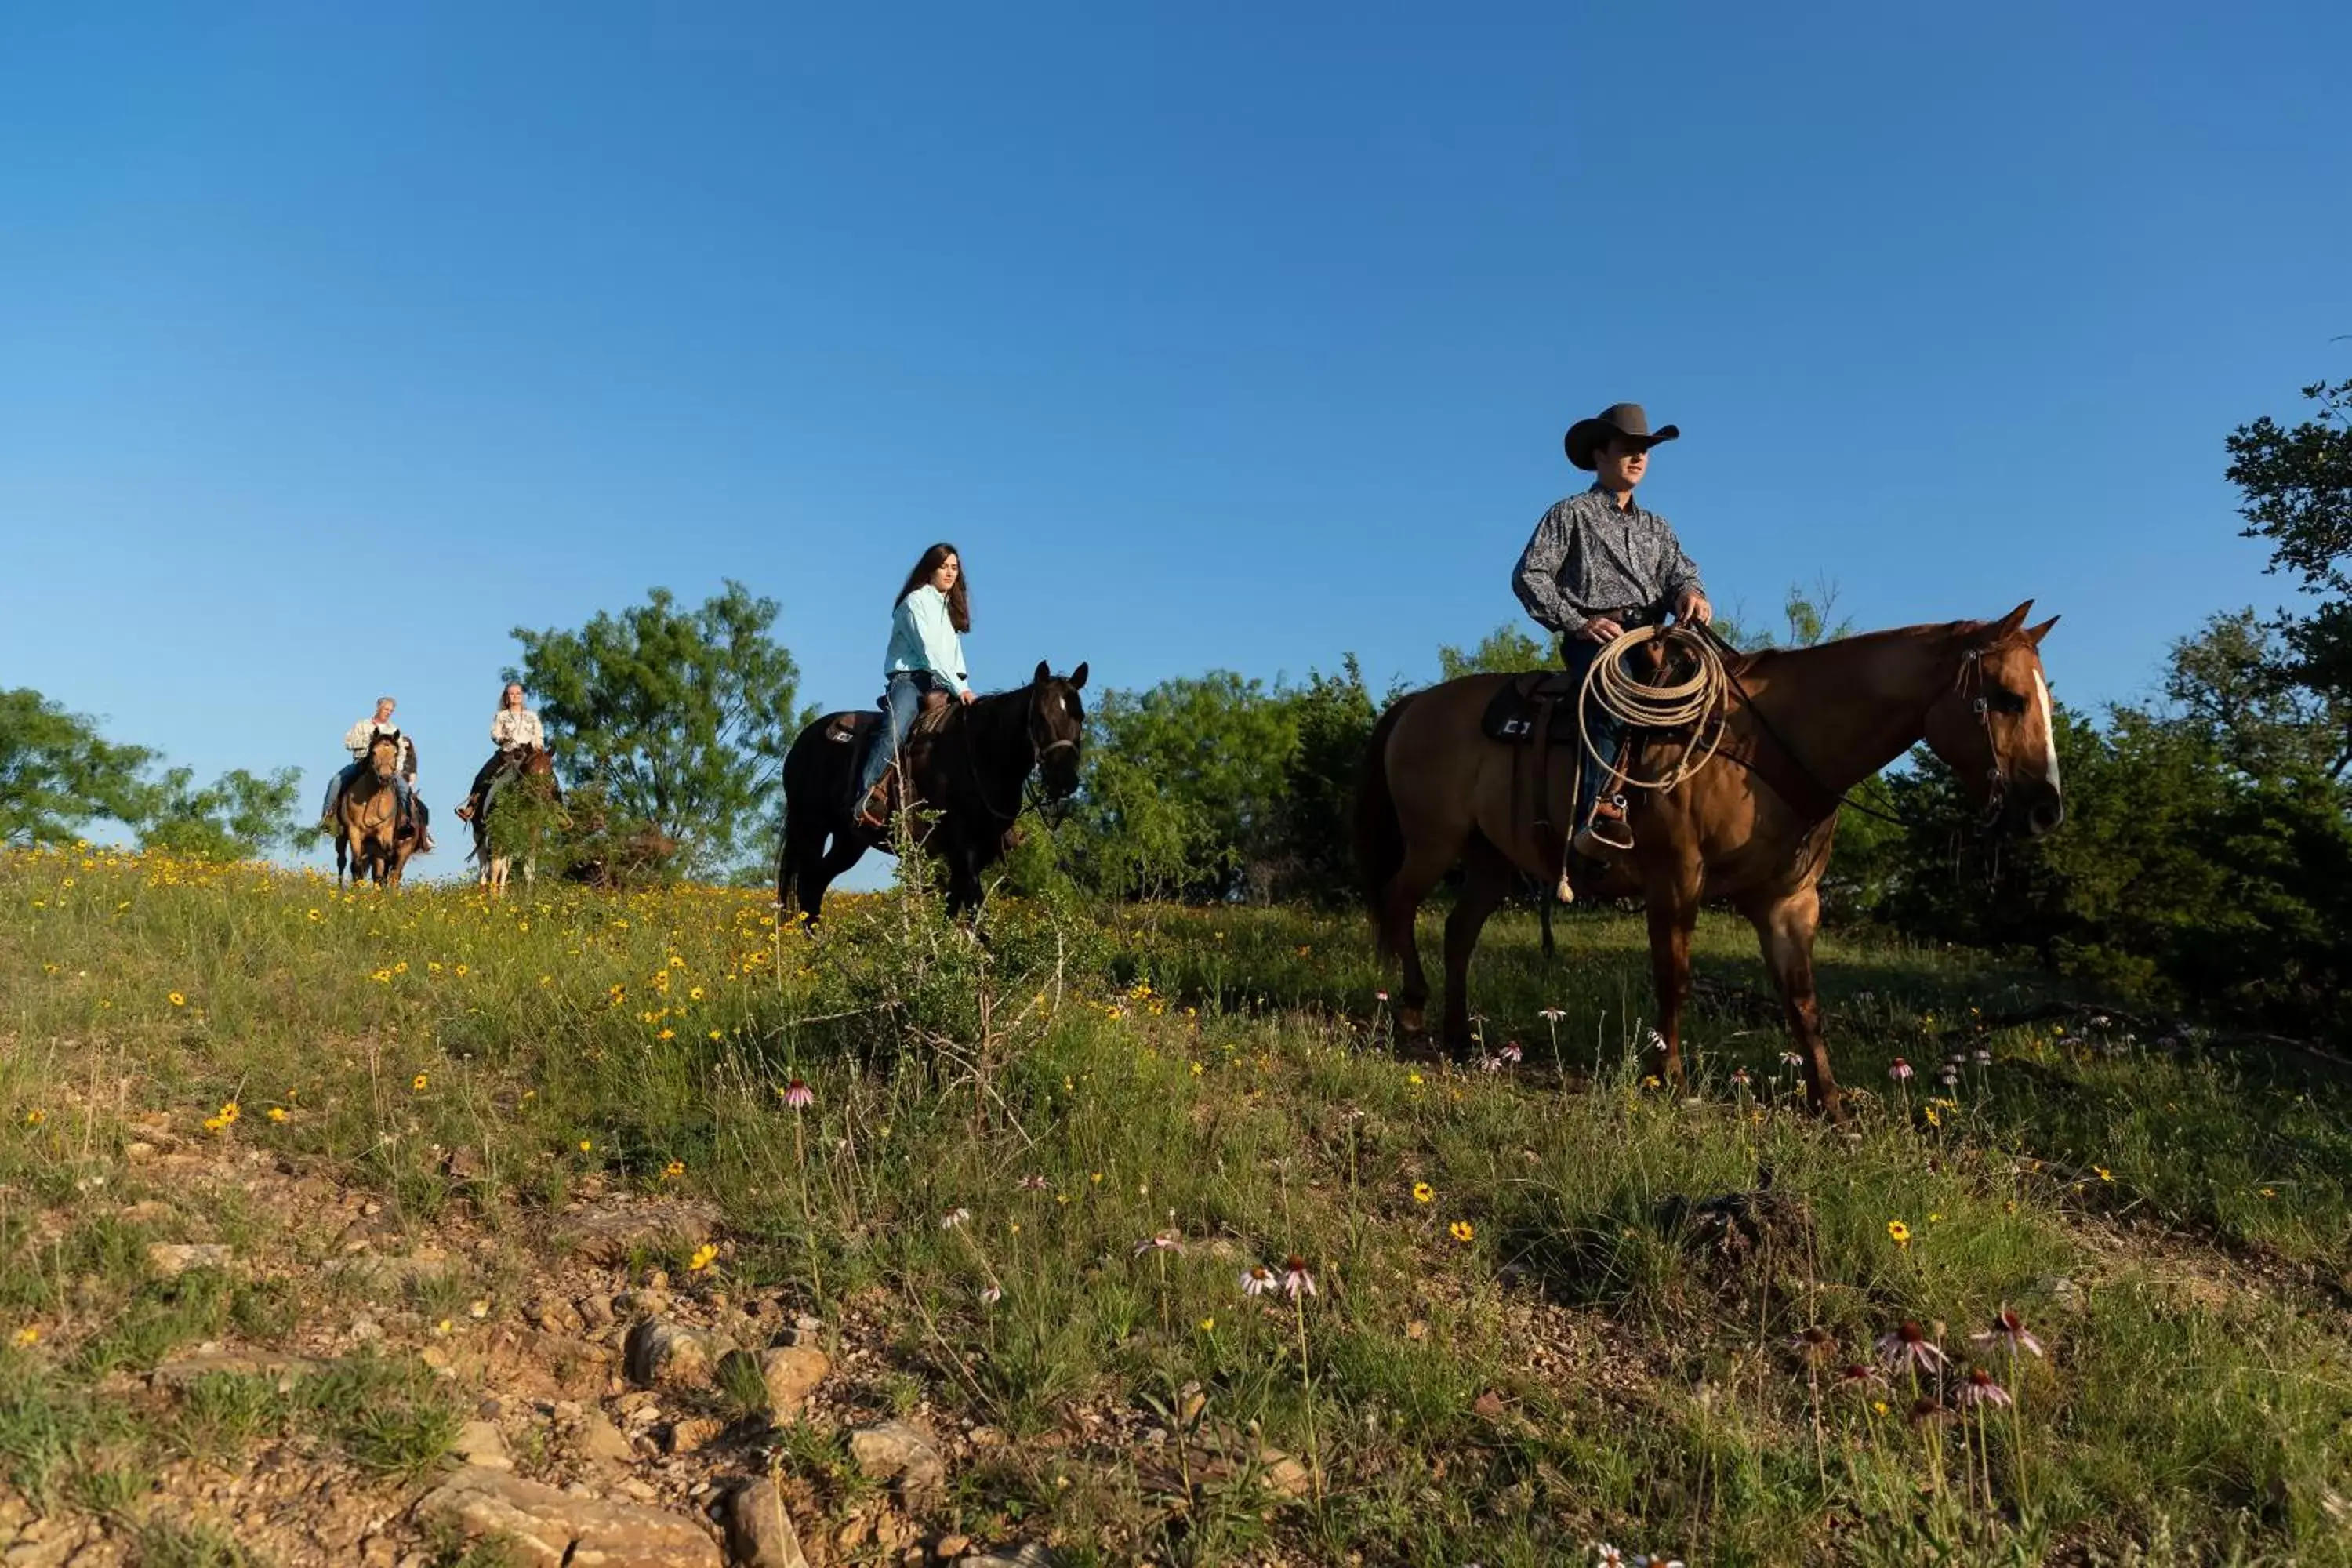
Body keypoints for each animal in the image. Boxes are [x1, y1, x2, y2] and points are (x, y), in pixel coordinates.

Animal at [332, 733, 423, 888]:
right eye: (374, 752)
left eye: (395, 753)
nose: (385, 778)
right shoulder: (354, 831)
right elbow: (357, 866)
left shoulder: (384, 834)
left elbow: (383, 867)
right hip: (343, 836)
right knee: (343, 861)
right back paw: (341, 888)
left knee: (393, 873)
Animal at [781, 658, 1091, 926]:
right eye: (1040, 717)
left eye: (1081, 717)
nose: (1065, 779)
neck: (980, 752)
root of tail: (804, 738)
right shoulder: (963, 848)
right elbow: (974, 911)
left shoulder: (980, 852)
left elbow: (955, 909)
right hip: (810, 826)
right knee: (805, 886)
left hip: (849, 840)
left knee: (816, 885)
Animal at [1364, 601, 2060, 1114]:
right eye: (2007, 697)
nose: (2046, 810)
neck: (1763, 742)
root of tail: (1416, 703)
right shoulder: (1675, 880)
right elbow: (1674, 978)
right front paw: (1669, 1078)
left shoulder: (1789, 902)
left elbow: (1804, 1001)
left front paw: (1829, 1101)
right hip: (1433, 843)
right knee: (1399, 905)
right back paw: (1412, 1015)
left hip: (1490, 861)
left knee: (1459, 931)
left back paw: (1458, 1036)